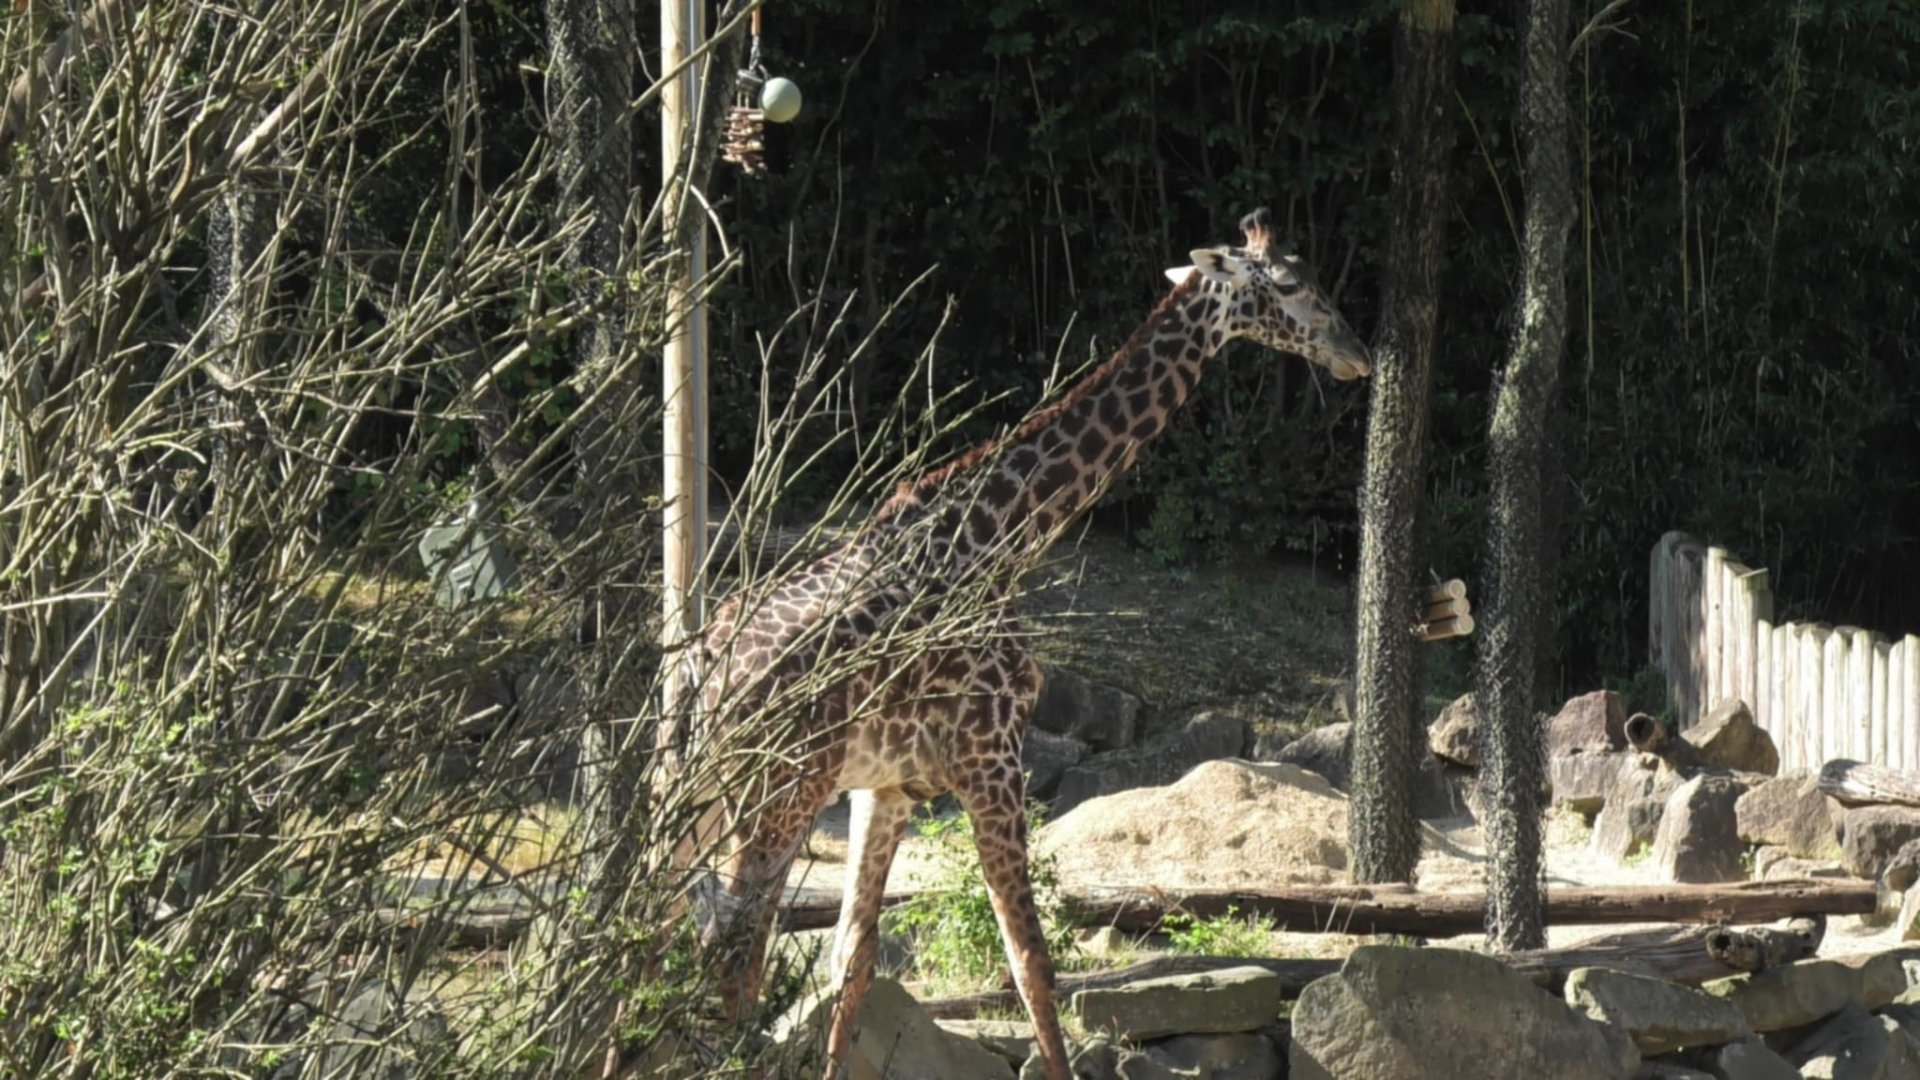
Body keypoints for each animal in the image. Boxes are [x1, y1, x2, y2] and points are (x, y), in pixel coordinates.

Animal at [660, 208, 1371, 1080]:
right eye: (1293, 283)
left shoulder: (888, 788)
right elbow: (1031, 959)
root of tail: (701, 670)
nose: (1355, 353)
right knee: (730, 941)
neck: (1003, 536)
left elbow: (852, 958)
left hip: (697, 788)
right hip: (777, 789)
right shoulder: (991, 760)